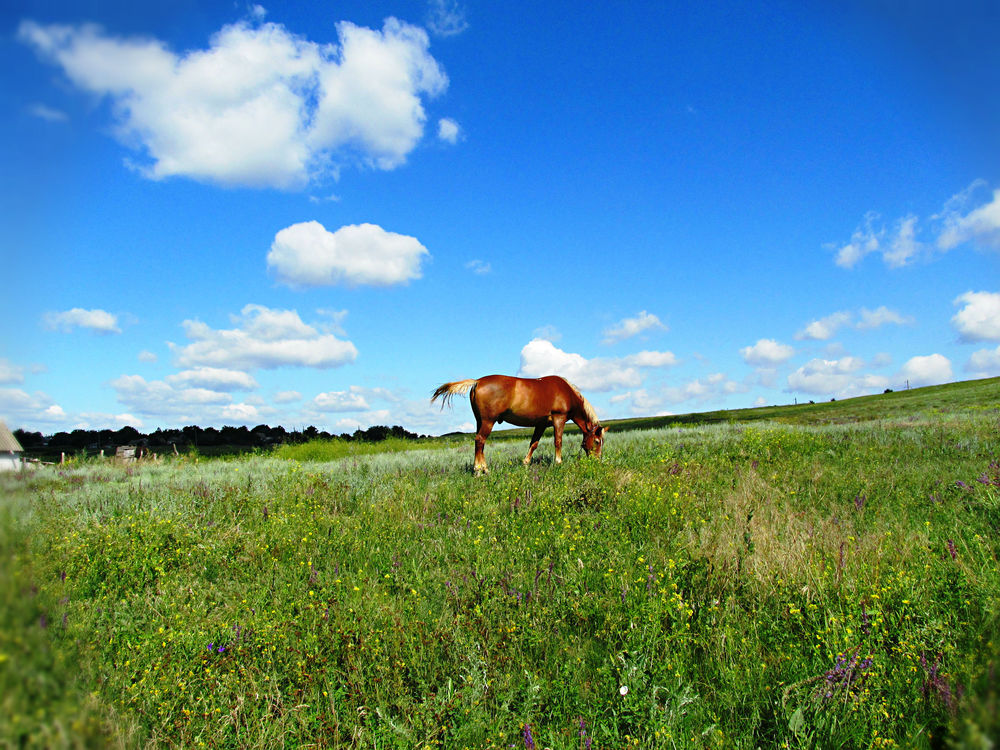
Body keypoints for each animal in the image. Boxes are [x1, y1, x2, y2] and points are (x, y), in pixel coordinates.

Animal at [431, 375, 605, 474]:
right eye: (597, 441)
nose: (597, 461)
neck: (566, 392)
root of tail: (477, 382)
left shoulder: (541, 424)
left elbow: (534, 444)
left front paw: (525, 463)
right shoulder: (559, 419)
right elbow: (558, 441)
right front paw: (558, 462)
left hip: (480, 421)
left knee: (480, 442)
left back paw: (483, 468)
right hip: (488, 421)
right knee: (480, 440)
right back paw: (480, 470)